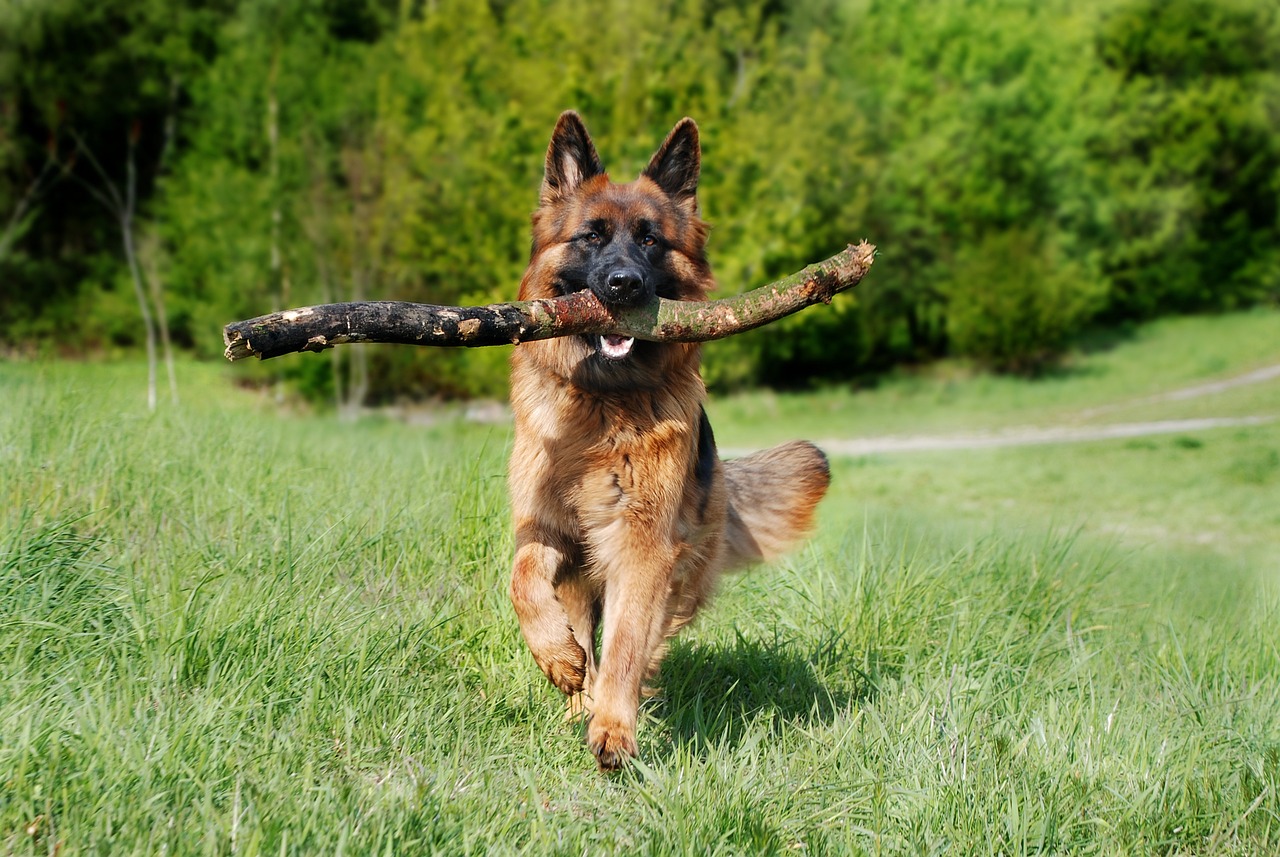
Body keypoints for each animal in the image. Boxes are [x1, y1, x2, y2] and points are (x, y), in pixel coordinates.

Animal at [506, 110, 829, 777]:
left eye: (651, 241)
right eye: (592, 237)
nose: (624, 285)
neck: (603, 403)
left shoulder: (643, 544)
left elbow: (628, 641)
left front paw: (614, 729)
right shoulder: (545, 526)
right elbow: (522, 580)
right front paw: (557, 658)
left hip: (679, 565)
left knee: (644, 637)